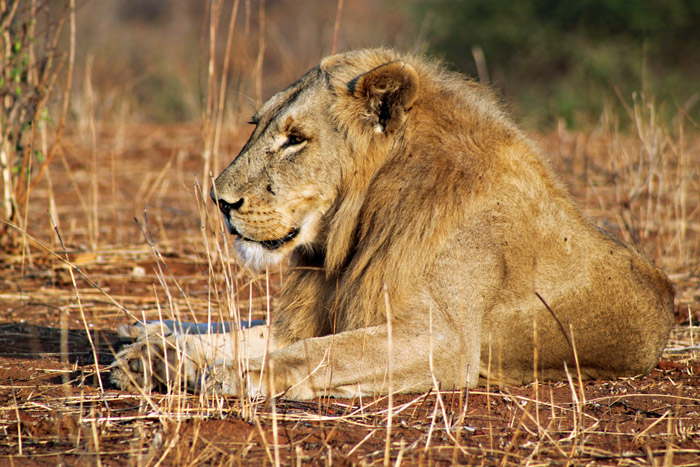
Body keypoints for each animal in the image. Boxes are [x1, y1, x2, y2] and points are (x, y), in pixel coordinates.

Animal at [112, 47, 676, 400]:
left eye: (295, 139)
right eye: (258, 126)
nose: (219, 200)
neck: (356, 227)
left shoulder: (443, 341)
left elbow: (319, 354)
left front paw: (228, 374)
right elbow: (257, 335)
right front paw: (156, 360)